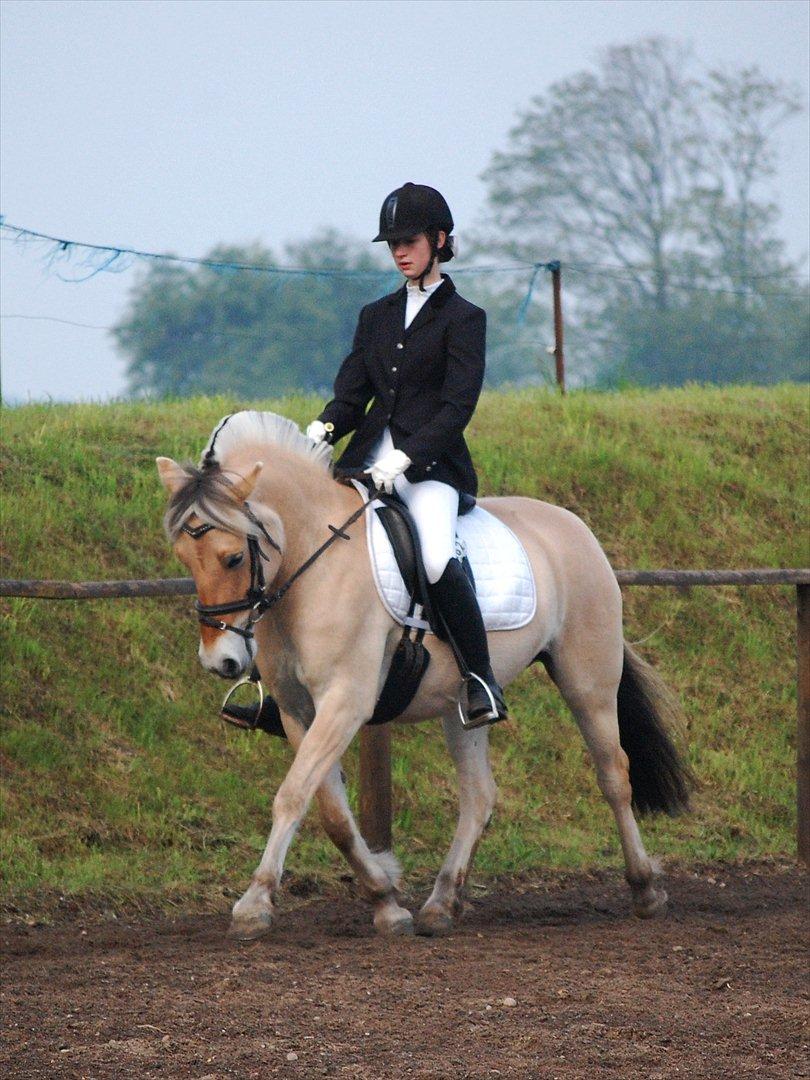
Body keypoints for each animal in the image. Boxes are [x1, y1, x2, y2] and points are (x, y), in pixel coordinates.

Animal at [156, 408, 691, 941]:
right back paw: (442, 903)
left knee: (613, 774)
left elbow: (292, 796)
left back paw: (645, 889)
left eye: (233, 557)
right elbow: (331, 812)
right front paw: (385, 899)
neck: (313, 561)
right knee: (479, 795)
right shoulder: (296, 711)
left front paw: (254, 903)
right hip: (462, 703)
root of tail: (574, 525)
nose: (220, 662)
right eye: (183, 558)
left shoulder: (345, 702)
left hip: (588, 681)